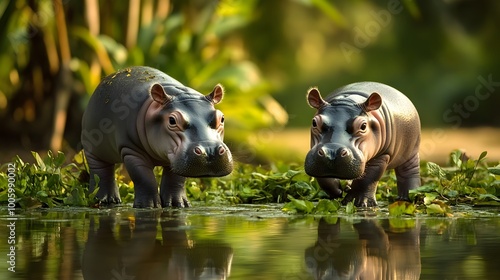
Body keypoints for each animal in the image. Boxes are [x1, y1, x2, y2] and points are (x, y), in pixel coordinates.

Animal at [81, 66, 233, 208]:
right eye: (172, 120)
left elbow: (176, 180)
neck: (177, 93)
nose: (210, 151)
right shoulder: (131, 151)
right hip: (93, 149)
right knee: (100, 172)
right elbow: (144, 178)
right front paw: (148, 206)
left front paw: (177, 204)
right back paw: (104, 200)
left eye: (222, 118)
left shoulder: (176, 159)